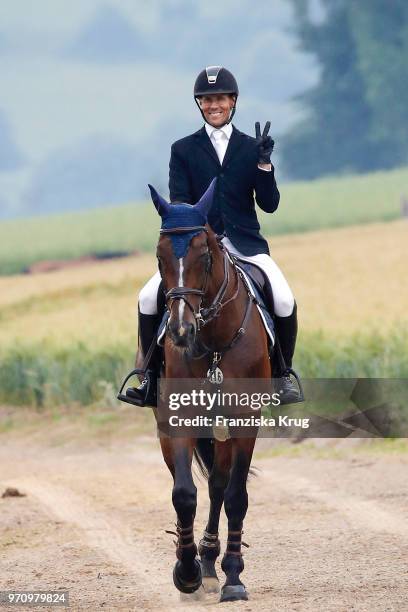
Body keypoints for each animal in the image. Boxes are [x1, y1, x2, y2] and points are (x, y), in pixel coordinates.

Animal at [143, 179, 270, 600]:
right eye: (159, 256)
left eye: (206, 257)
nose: (181, 331)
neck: (212, 340)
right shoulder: (178, 417)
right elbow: (183, 494)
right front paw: (186, 572)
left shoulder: (246, 418)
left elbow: (235, 495)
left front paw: (233, 577)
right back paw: (203, 565)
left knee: (218, 484)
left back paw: (216, 564)